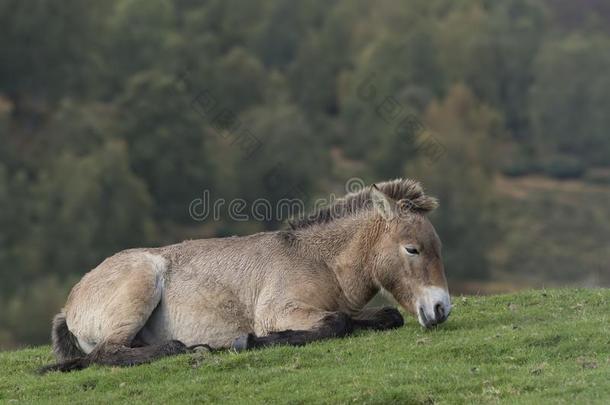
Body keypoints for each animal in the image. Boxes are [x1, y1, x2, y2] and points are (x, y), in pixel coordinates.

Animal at [36, 178, 446, 372]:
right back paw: (183, 348)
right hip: (142, 281)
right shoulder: (279, 311)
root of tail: (71, 303)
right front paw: (250, 341)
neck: (317, 260)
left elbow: (380, 316)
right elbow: (336, 323)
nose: (442, 309)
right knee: (108, 352)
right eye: (412, 249)